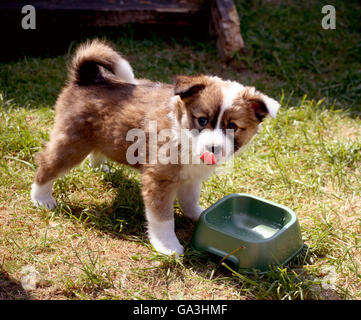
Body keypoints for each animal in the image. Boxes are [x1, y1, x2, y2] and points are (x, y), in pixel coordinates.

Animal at [30, 39, 278, 255]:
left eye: (233, 126)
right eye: (202, 120)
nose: (213, 148)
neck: (182, 133)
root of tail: (87, 77)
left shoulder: (191, 177)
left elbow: (190, 200)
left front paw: (199, 215)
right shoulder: (158, 180)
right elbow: (163, 219)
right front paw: (167, 246)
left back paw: (100, 168)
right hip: (72, 143)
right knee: (47, 165)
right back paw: (42, 199)